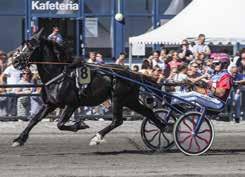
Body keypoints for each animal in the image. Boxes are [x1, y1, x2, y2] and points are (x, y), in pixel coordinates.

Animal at [11, 29, 165, 147]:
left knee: (117, 120)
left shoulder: (71, 104)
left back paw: (97, 137)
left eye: (31, 47)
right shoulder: (50, 104)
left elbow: (60, 124)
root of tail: (132, 73)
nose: (15, 61)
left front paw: (80, 125)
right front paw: (19, 139)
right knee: (148, 112)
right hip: (129, 100)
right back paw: (165, 127)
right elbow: (34, 119)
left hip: (118, 98)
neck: (59, 75)